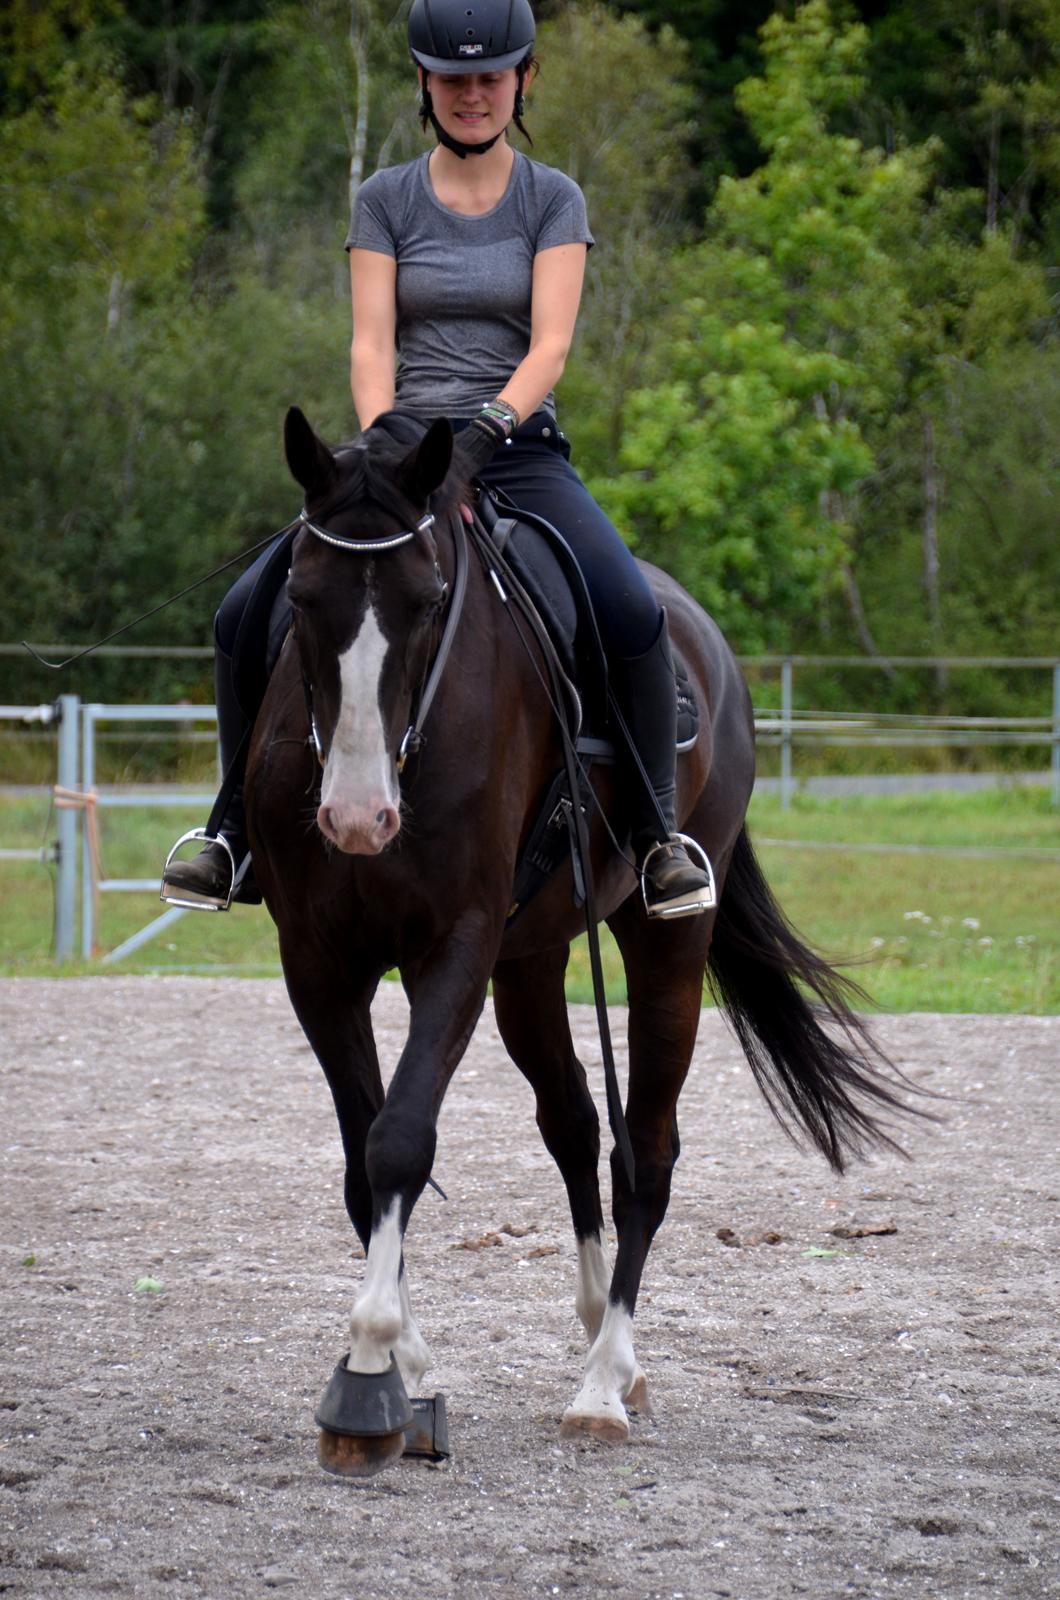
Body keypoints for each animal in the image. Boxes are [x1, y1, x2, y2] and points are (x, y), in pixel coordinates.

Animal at [243, 409, 915, 1472]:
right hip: (527, 967)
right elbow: (362, 1162)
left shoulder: (456, 946)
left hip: (664, 946)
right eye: (303, 596)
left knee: (648, 1151)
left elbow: (400, 1139)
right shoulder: (316, 960)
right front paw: (407, 1369)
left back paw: (604, 1381)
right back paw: (603, 1333)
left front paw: (366, 1375)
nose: (357, 818)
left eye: (430, 600)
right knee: (574, 1124)